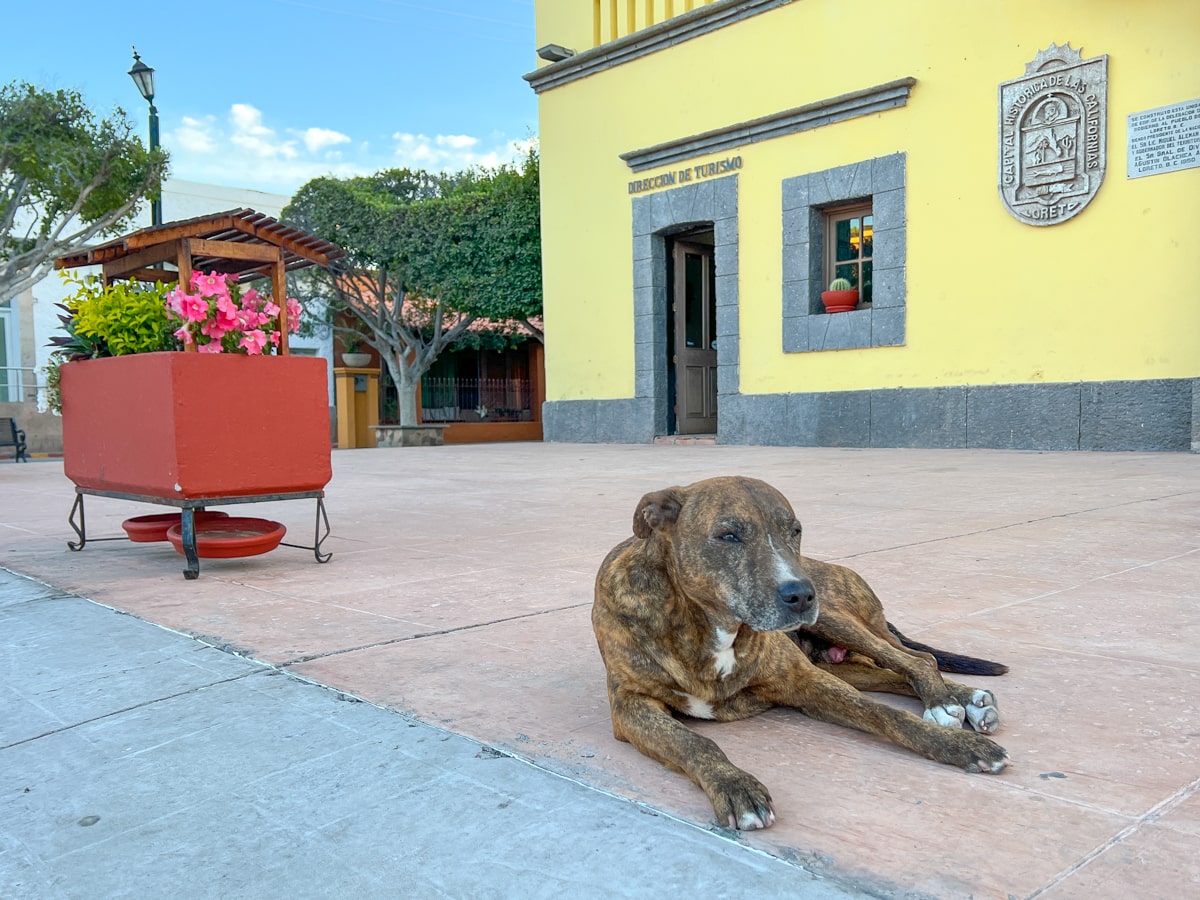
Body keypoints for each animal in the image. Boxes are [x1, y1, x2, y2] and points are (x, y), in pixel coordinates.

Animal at [595, 475, 1008, 835]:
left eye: (794, 531)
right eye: (728, 535)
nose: (801, 594)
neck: (710, 626)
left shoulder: (805, 680)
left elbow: (885, 714)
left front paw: (959, 746)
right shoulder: (631, 705)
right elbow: (693, 742)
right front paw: (736, 786)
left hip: (837, 621)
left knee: (915, 661)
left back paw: (951, 701)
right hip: (841, 663)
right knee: (896, 672)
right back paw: (964, 701)